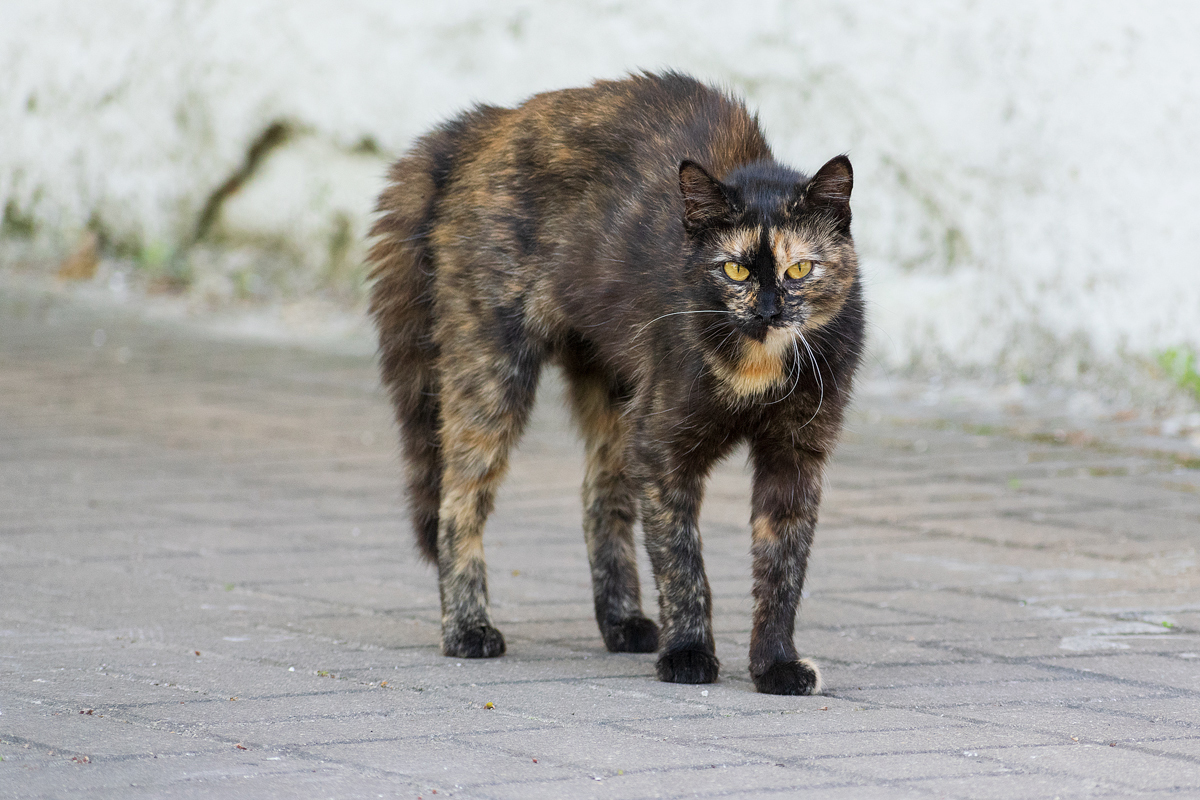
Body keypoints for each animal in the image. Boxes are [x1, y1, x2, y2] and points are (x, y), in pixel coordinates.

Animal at [364, 71, 864, 695]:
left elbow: (782, 570)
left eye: (800, 269)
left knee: (598, 497)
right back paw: (468, 630)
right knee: (458, 501)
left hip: (616, 395)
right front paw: (689, 654)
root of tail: (490, 121)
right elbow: (682, 562)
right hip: (492, 371)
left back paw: (621, 621)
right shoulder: (663, 449)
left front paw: (775, 665)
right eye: (735, 270)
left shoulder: (794, 458)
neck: (757, 366)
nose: (769, 311)